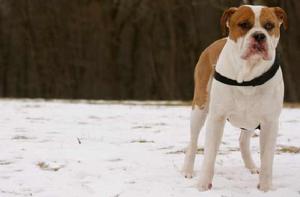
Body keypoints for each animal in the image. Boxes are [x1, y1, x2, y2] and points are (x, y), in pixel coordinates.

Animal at [182, 5, 288, 192]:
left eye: (269, 26)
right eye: (243, 24)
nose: (259, 36)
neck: (248, 74)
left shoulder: (269, 121)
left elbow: (267, 158)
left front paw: (265, 187)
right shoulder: (217, 118)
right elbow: (209, 155)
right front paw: (203, 185)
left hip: (251, 120)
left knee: (243, 140)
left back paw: (252, 166)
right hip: (199, 106)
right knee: (193, 140)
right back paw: (187, 169)